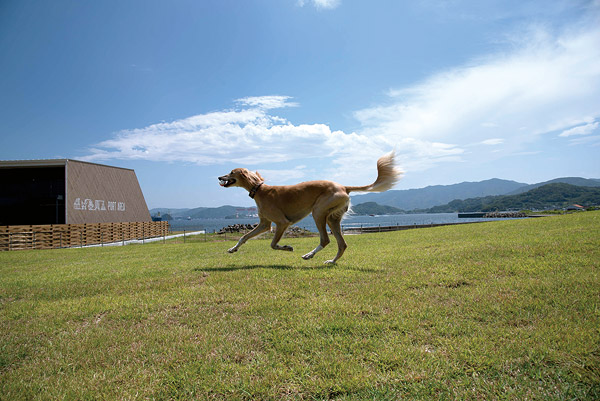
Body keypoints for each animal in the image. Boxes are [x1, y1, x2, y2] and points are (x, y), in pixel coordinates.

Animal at [218, 151, 400, 262]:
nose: (219, 177)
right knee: (342, 244)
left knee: (325, 239)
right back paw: (331, 261)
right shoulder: (265, 223)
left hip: (318, 212)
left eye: (232, 172)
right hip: (332, 218)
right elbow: (244, 237)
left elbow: (272, 244)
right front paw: (233, 249)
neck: (260, 190)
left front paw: (287, 247)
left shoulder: (282, 222)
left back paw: (309, 255)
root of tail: (343, 186)